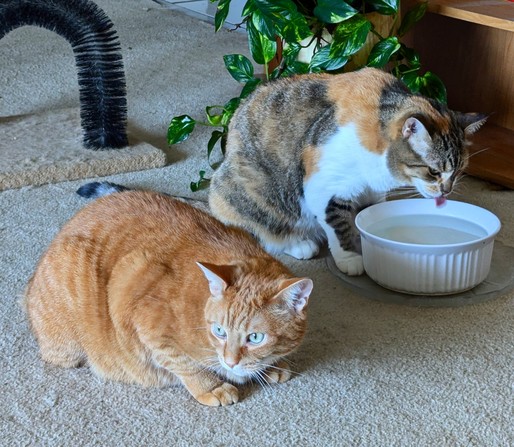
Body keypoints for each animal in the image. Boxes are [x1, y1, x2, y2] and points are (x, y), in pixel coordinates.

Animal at [25, 191, 312, 408]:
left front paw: (269, 366)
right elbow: (185, 364)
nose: (231, 361)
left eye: (255, 338)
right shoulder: (141, 311)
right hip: (68, 344)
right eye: (219, 331)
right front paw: (213, 386)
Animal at [207, 66, 484, 276]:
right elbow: (337, 223)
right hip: (245, 194)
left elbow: (366, 214)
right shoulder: (325, 185)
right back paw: (298, 243)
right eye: (433, 171)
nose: (446, 191)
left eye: (458, 171)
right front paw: (350, 257)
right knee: (262, 231)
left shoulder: (373, 191)